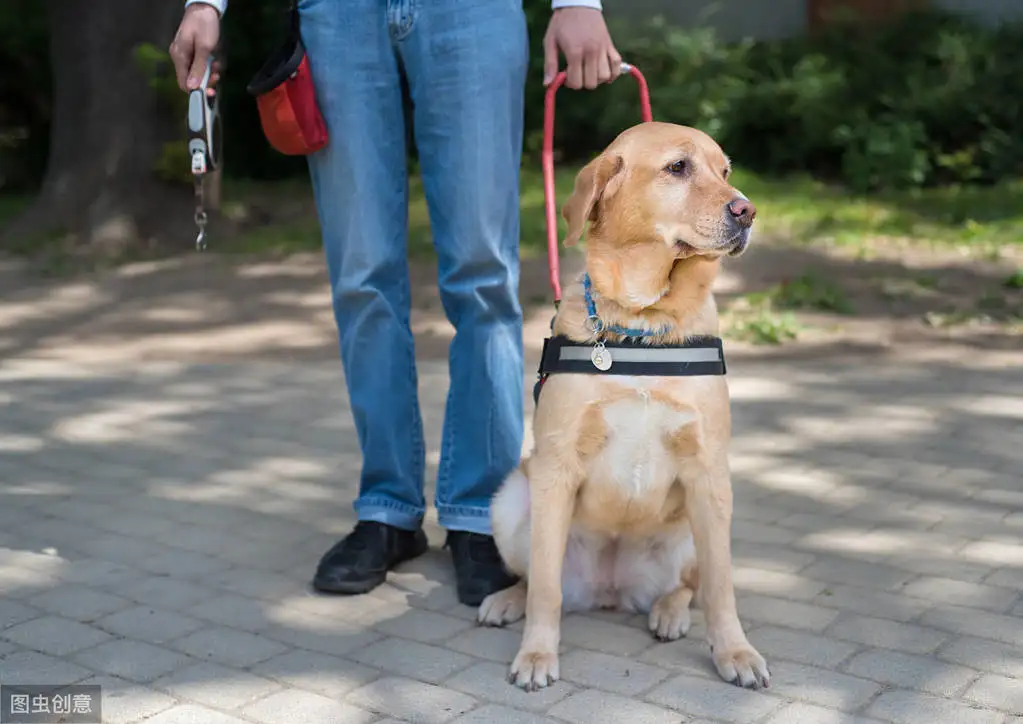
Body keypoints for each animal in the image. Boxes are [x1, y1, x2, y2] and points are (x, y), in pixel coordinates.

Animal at [476, 123, 769, 691]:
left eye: (724, 171)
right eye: (678, 167)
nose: (746, 210)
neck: (643, 321)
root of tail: (611, 590)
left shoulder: (708, 471)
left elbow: (721, 586)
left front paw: (735, 652)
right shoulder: (555, 467)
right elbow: (546, 587)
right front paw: (537, 654)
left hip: (696, 524)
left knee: (690, 585)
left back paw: (669, 612)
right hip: (510, 501)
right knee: (535, 578)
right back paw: (507, 600)